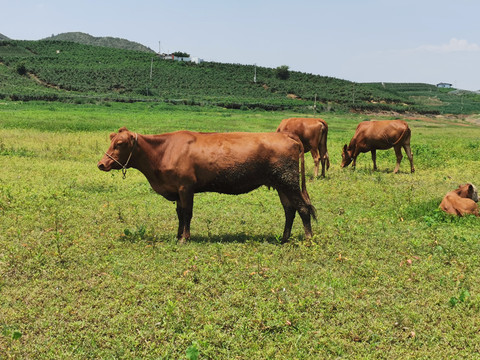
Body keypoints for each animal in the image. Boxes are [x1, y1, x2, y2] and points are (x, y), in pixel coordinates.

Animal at [96, 126, 316, 242]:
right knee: (289, 210)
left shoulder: (186, 187)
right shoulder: (177, 190)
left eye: (119, 144)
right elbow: (179, 214)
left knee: (303, 208)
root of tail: (285, 134)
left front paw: (185, 238)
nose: (101, 164)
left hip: (289, 181)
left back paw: (308, 238)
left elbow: (187, 213)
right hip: (281, 184)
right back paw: (284, 238)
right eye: (111, 141)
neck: (164, 151)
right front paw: (178, 235)